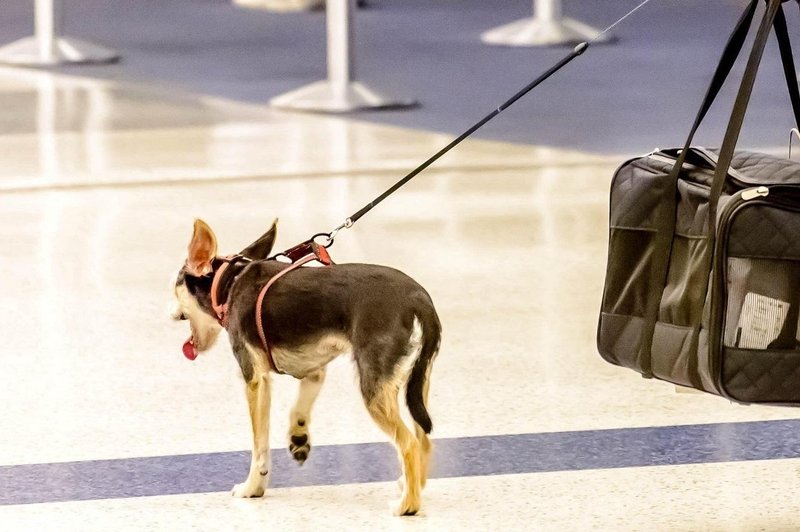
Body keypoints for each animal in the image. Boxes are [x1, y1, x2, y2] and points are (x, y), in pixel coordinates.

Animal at [170, 218, 444, 512]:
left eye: (175, 285)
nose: (171, 313)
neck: (230, 282)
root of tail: (419, 299)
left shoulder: (255, 380)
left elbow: (259, 445)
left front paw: (253, 486)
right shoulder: (313, 370)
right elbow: (298, 409)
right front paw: (298, 438)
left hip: (376, 388)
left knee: (409, 444)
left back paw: (408, 505)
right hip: (416, 383)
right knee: (423, 439)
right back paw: (412, 485)